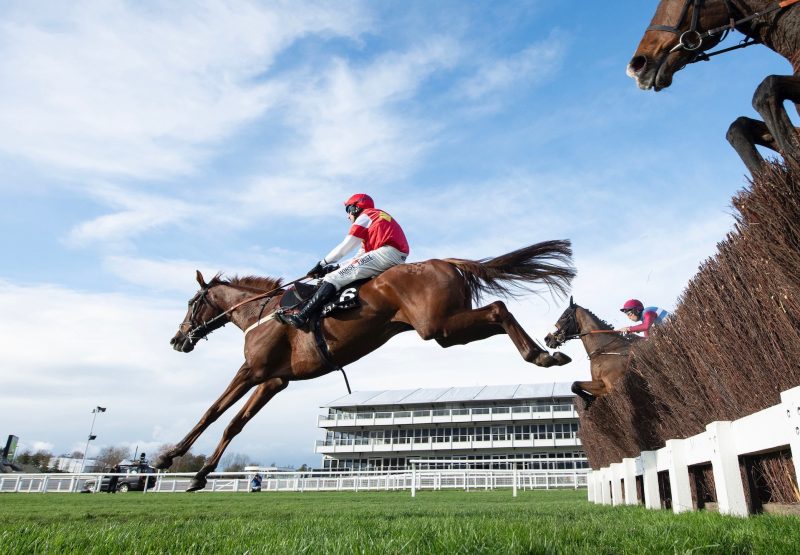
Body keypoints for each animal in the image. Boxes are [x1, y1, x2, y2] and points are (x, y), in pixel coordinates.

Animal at [161, 239, 576, 490]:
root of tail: (444, 262)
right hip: (445, 329)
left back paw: (540, 354)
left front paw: (171, 456)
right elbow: (235, 423)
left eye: (191, 303)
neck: (261, 313)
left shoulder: (253, 371)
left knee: (498, 308)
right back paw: (545, 353)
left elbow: (212, 412)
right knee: (496, 311)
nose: (177, 340)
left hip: (438, 325)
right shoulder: (274, 381)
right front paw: (200, 474)